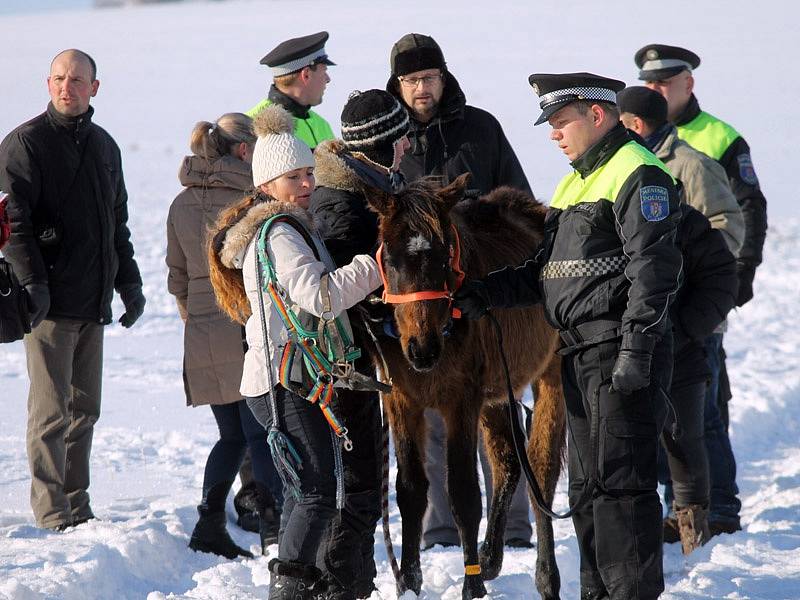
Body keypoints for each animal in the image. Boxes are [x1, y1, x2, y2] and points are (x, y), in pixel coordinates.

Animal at [362, 173, 568, 600]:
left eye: (444, 258)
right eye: (389, 260)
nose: (422, 349)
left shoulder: (461, 401)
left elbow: (463, 493)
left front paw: (471, 585)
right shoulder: (402, 400)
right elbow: (410, 490)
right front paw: (409, 582)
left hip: (549, 376)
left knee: (540, 470)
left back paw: (544, 576)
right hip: (496, 393)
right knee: (508, 463)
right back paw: (491, 557)